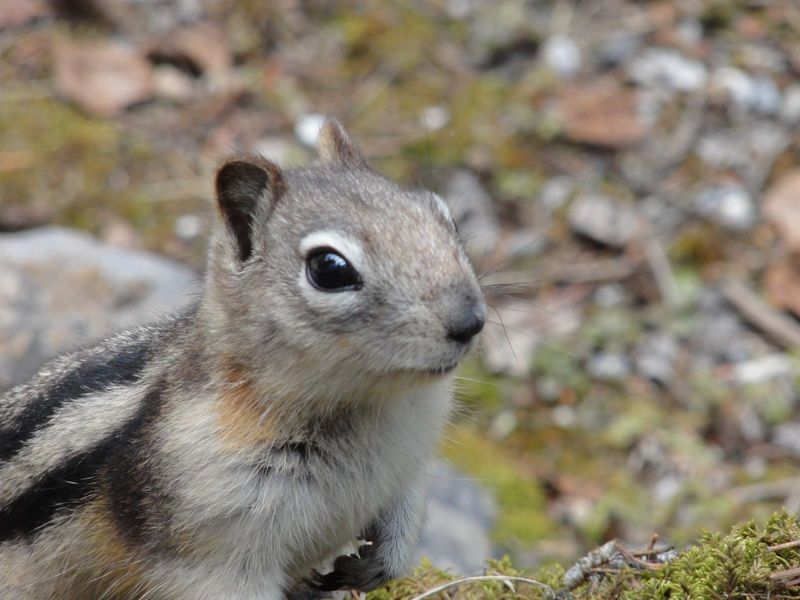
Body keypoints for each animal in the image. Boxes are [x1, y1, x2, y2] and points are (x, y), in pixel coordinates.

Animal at [0, 119, 484, 596]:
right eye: (329, 268)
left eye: (441, 214)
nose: (471, 320)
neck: (371, 405)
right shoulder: (214, 546)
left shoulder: (408, 468)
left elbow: (406, 511)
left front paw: (377, 565)